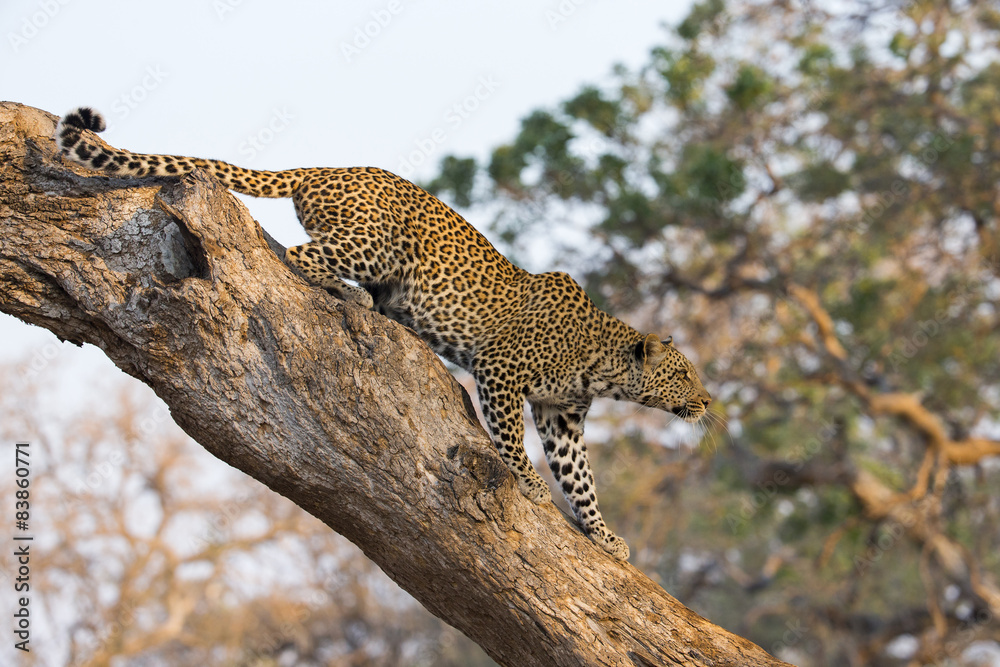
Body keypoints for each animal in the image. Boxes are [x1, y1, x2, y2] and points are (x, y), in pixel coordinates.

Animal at [56, 106, 712, 560]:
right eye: (684, 374)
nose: (708, 404)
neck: (600, 364)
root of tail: (327, 167)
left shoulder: (562, 417)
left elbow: (582, 479)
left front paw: (603, 535)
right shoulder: (501, 372)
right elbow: (511, 442)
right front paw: (528, 484)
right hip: (379, 243)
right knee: (299, 255)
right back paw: (355, 297)